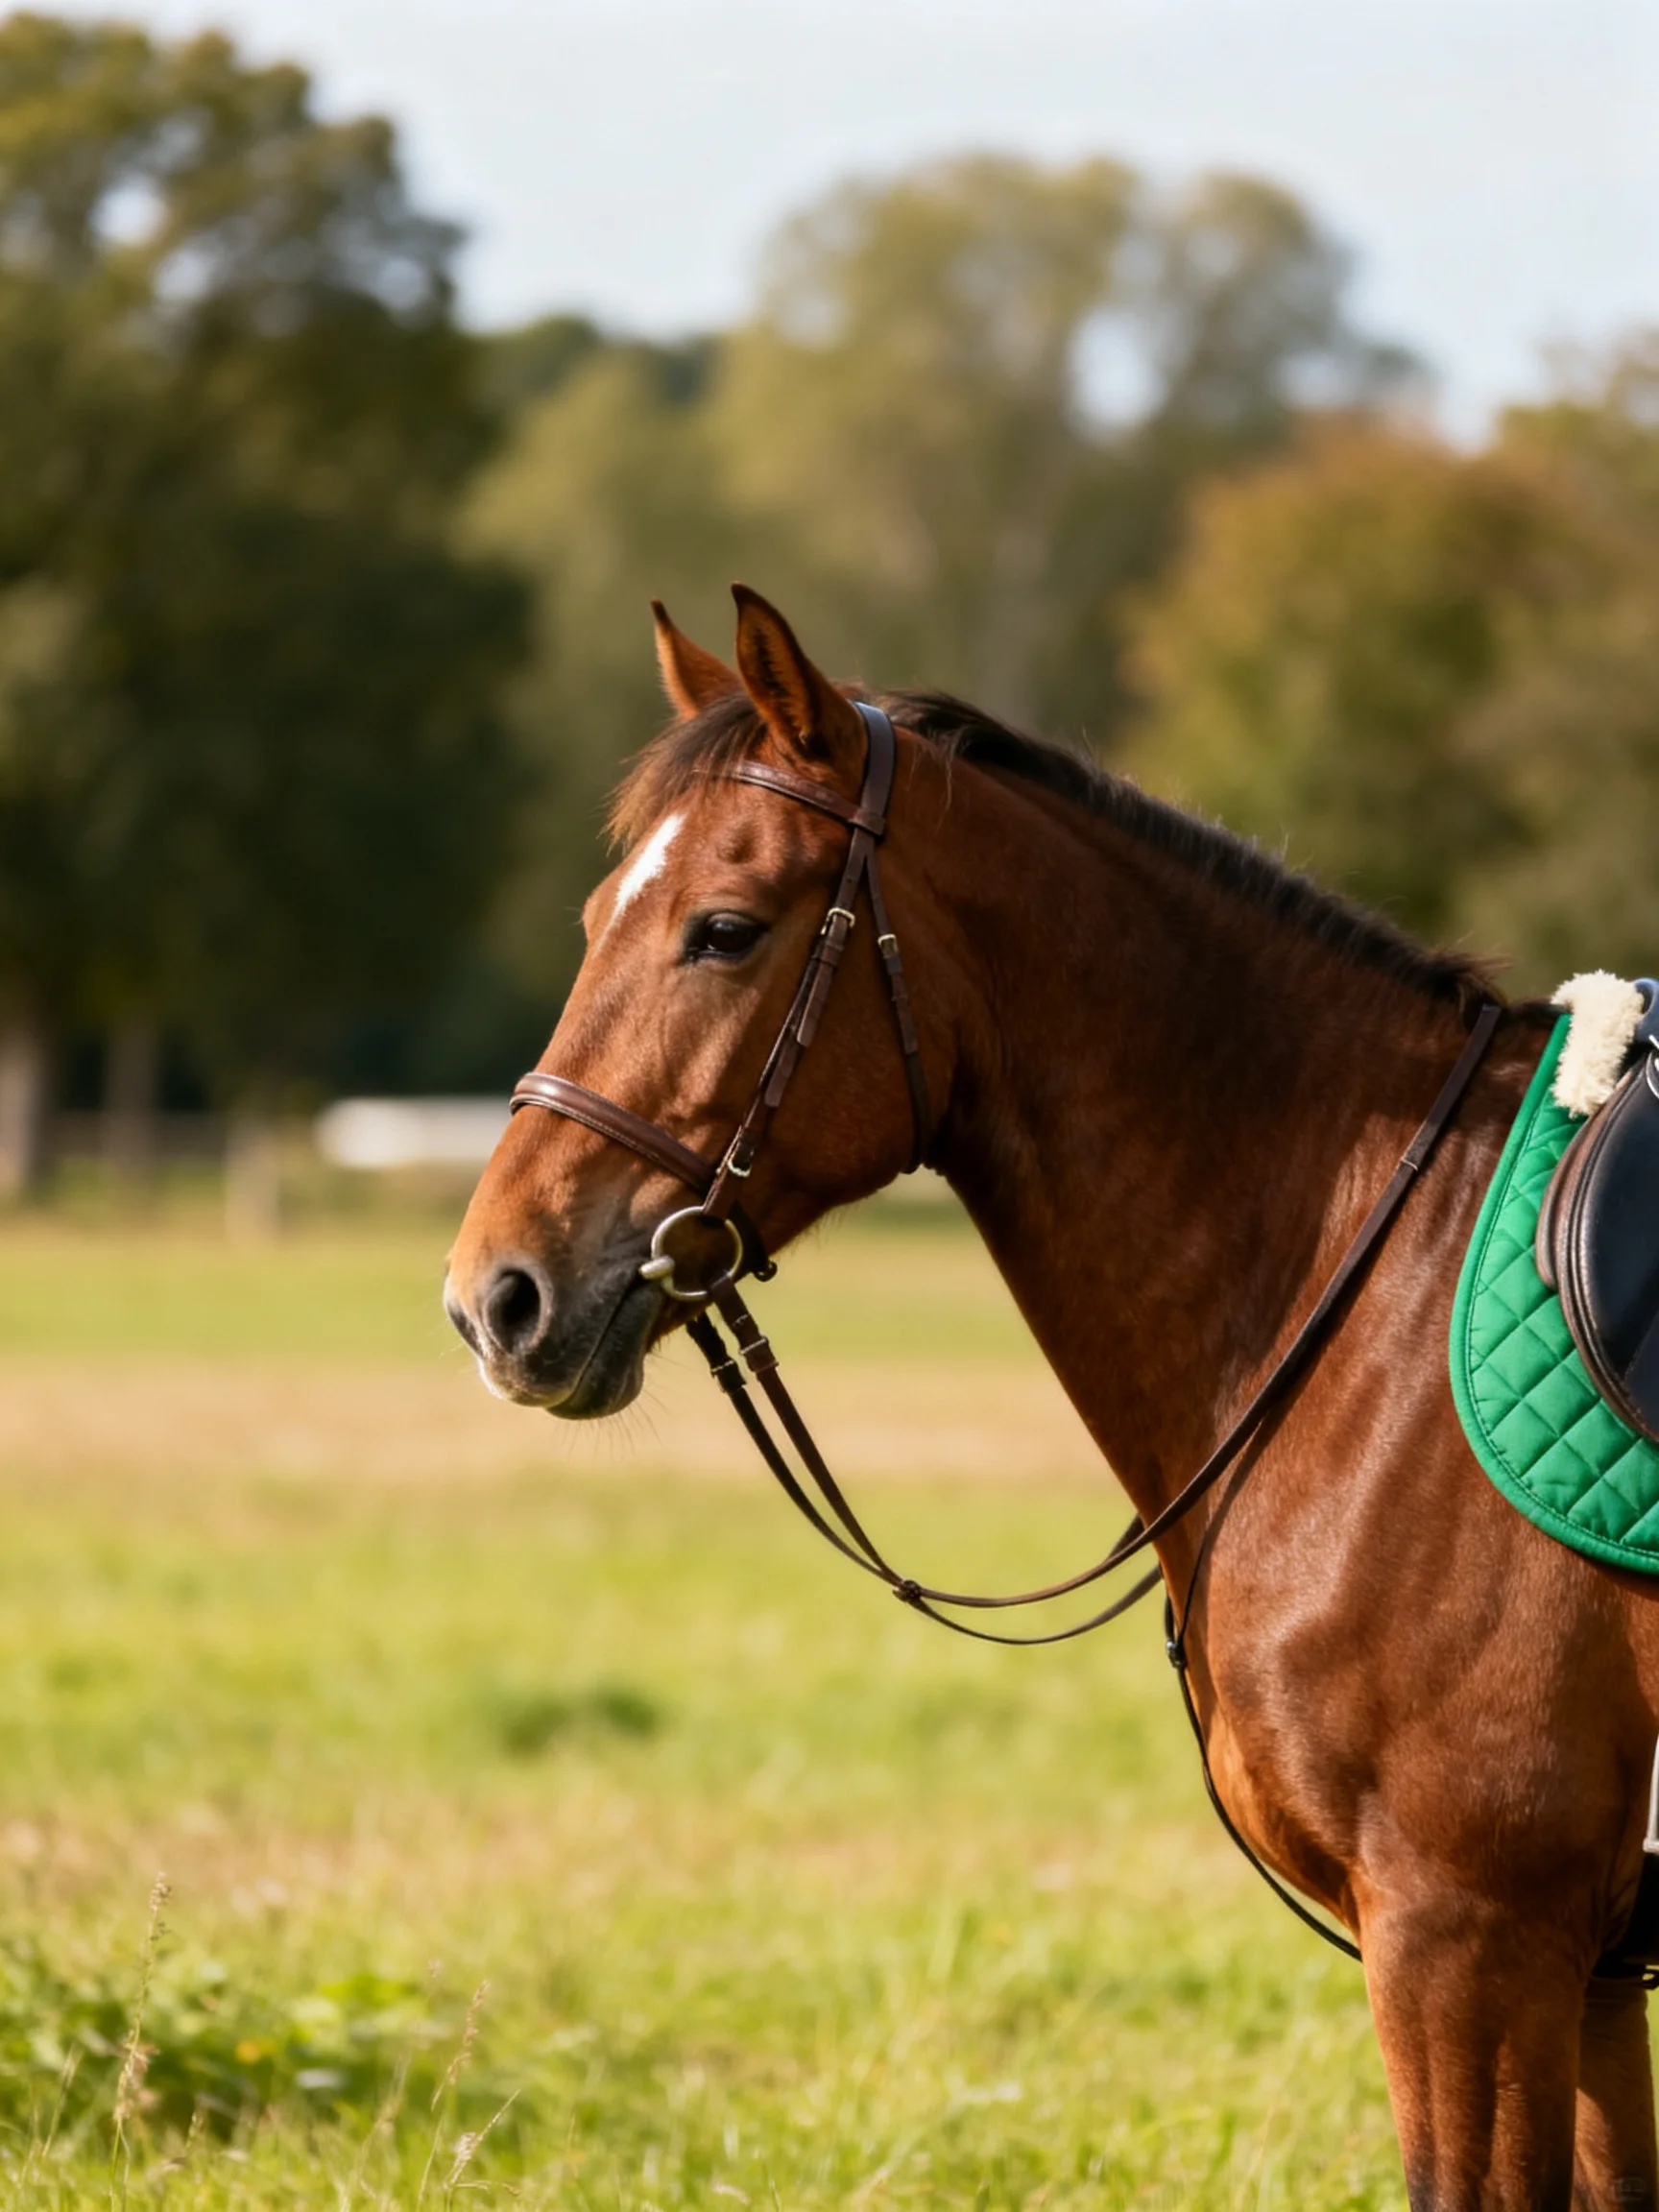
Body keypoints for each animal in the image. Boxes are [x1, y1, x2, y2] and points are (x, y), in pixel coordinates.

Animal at [445, 585, 1659, 2209]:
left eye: (724, 930)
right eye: (596, 923)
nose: (494, 1295)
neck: (1376, 1282)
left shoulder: (1470, 1939)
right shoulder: (1580, 1976)